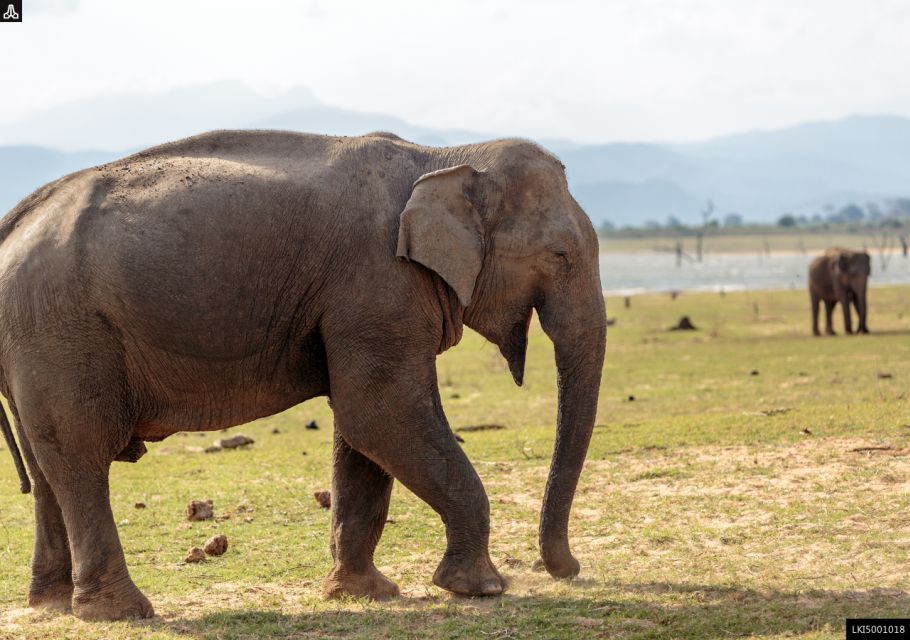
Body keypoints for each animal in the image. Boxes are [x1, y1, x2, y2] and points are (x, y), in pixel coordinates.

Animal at [0, 131, 608, 620]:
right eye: (560, 254)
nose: (567, 568)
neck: (445, 156)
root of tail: (14, 223)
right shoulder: (378, 283)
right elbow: (380, 414)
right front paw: (479, 589)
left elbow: (364, 432)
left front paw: (364, 593)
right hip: (60, 332)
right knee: (80, 458)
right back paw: (122, 613)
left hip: (35, 342)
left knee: (48, 467)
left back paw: (53, 606)